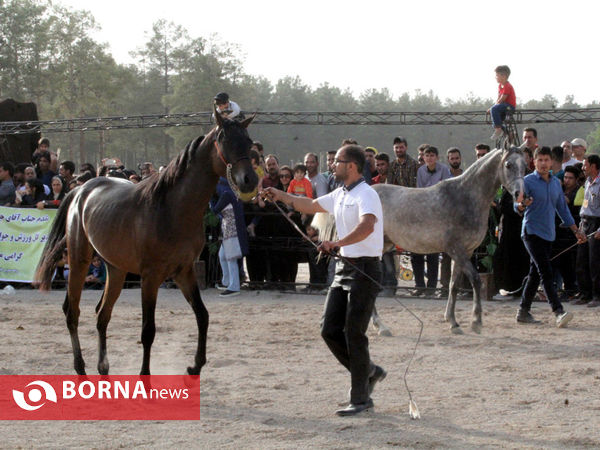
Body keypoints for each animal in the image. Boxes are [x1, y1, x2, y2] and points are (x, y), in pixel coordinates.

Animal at [34, 113, 256, 376]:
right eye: (226, 140)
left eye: (248, 142)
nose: (250, 180)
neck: (171, 208)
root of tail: (80, 190)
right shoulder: (151, 276)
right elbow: (148, 330)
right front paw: (145, 376)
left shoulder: (184, 272)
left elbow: (202, 315)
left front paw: (195, 366)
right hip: (80, 260)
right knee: (73, 312)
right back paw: (81, 369)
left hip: (116, 270)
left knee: (102, 314)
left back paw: (103, 368)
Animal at [376, 148, 524, 334]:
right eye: (508, 165)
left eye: (525, 165)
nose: (521, 195)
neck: (464, 198)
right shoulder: (456, 250)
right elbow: (475, 280)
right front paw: (476, 322)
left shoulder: (465, 252)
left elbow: (454, 285)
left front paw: (452, 322)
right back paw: (379, 326)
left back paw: (379, 326)